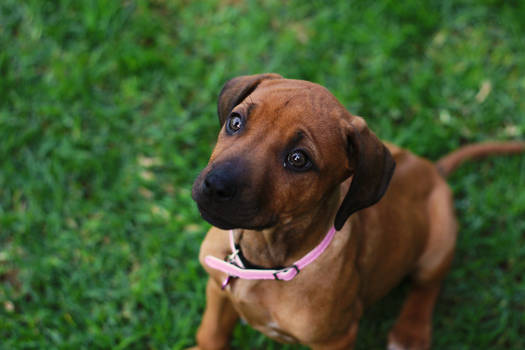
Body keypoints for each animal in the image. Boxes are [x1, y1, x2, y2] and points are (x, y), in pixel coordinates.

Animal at [187, 74, 520, 350]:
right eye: (235, 122)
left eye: (298, 159)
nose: (215, 185)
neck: (263, 259)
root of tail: (433, 170)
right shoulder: (217, 289)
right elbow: (211, 334)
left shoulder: (336, 338)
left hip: (440, 240)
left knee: (428, 285)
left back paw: (410, 333)